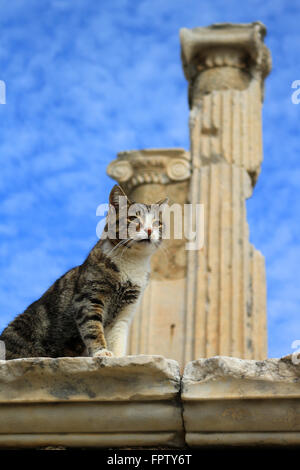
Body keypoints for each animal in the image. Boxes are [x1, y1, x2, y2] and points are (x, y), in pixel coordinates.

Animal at [0, 185, 168, 358]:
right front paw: (101, 352)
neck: (133, 262)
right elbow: (93, 328)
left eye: (157, 223)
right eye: (133, 218)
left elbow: (118, 338)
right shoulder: (88, 298)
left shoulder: (125, 312)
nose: (149, 230)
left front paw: (120, 358)